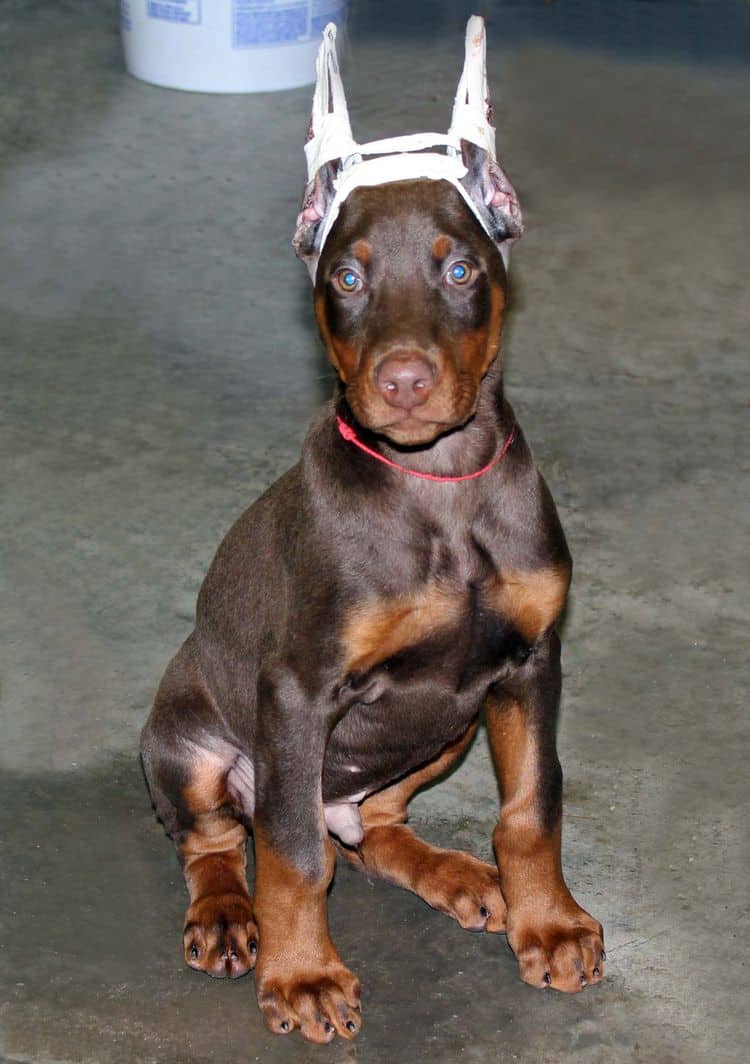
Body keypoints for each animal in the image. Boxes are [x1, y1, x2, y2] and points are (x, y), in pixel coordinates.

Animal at [139, 56, 604, 1046]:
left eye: (460, 267)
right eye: (348, 277)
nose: (403, 382)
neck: (440, 489)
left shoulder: (530, 665)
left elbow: (532, 805)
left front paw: (549, 923)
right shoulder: (299, 692)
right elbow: (290, 855)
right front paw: (304, 977)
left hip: (451, 723)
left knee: (372, 829)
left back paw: (459, 877)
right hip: (187, 744)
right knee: (225, 839)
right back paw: (228, 918)